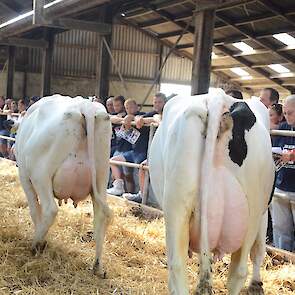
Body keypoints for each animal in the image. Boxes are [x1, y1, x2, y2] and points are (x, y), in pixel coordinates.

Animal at [15, 95, 112, 278]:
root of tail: (85, 106)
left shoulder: (24, 176)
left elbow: (34, 210)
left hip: (41, 175)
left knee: (49, 209)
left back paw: (36, 244)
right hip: (101, 177)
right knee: (100, 217)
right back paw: (97, 266)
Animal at [150, 89, 278, 295]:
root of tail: (219, 98)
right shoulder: (264, 212)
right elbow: (259, 249)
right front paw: (257, 284)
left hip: (177, 206)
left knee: (178, 265)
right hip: (252, 210)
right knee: (237, 271)